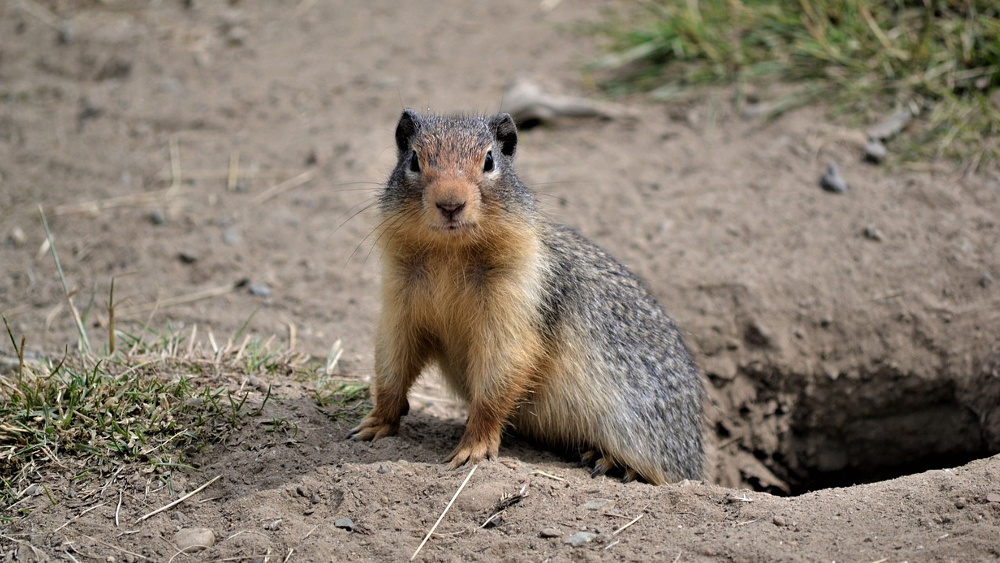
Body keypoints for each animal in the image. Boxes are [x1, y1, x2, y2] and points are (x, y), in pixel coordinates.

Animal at [350, 110, 704, 484]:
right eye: (414, 159)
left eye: (489, 160)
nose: (450, 204)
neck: (449, 254)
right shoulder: (399, 300)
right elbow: (392, 362)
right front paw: (373, 425)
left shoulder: (514, 305)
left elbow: (498, 377)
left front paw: (472, 449)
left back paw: (610, 461)